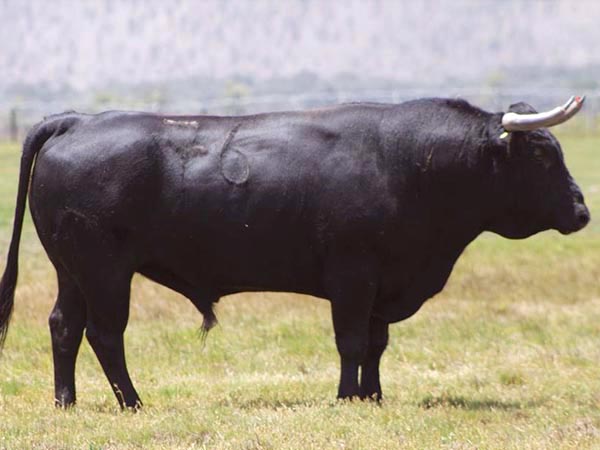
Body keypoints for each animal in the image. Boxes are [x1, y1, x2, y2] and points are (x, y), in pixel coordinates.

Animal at [0, 96, 590, 409]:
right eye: (542, 155)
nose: (583, 211)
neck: (410, 164)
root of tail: (80, 120)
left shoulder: (381, 283)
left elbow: (377, 345)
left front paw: (373, 397)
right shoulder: (353, 277)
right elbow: (352, 342)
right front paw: (348, 398)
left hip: (72, 272)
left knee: (63, 327)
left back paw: (67, 402)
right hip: (105, 272)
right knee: (104, 334)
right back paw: (133, 402)